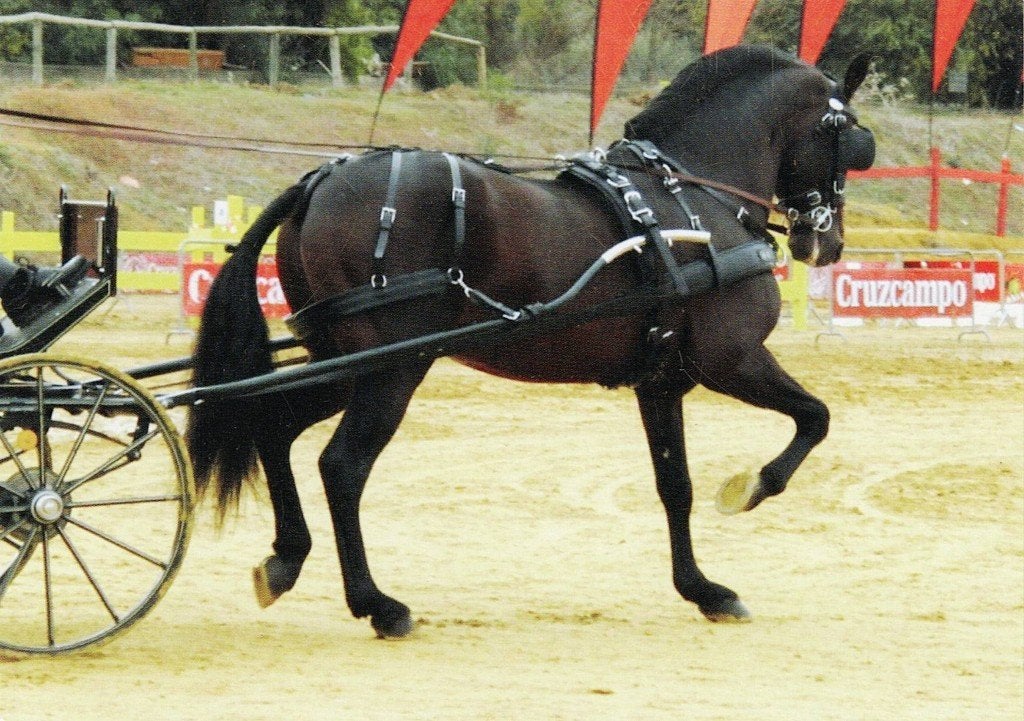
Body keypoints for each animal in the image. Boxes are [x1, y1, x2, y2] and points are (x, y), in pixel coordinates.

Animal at [185, 45, 876, 639]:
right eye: (848, 139)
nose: (827, 242)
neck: (693, 202)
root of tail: (317, 183)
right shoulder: (730, 360)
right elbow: (816, 417)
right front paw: (749, 488)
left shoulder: (662, 381)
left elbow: (674, 486)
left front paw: (703, 589)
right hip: (393, 368)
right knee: (343, 466)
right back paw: (378, 604)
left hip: (345, 363)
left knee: (275, 426)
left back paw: (284, 560)